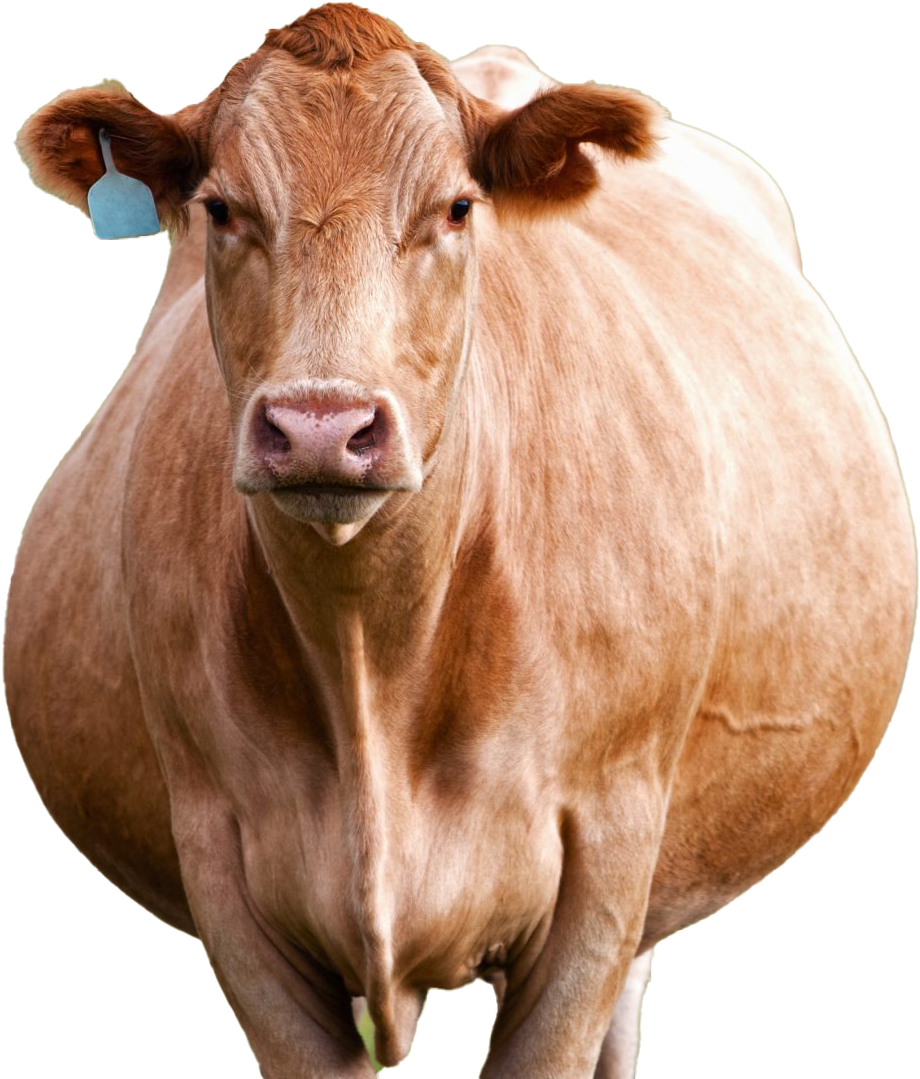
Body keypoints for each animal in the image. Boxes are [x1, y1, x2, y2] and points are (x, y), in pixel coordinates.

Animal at [7, 4, 914, 1076]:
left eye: (455, 209)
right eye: (222, 209)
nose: (323, 424)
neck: (375, 658)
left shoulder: (605, 860)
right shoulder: (224, 874)